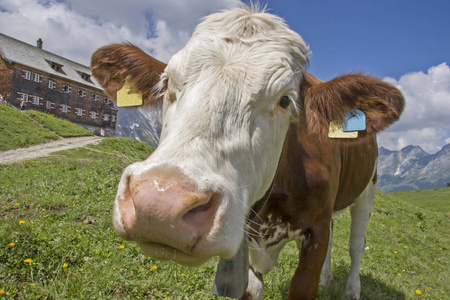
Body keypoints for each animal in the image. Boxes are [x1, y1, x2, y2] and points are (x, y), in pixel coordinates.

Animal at [91, 4, 404, 300]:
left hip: (368, 188)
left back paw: (352, 289)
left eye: (285, 100)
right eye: (167, 83)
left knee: (356, 244)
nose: (160, 203)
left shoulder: (315, 233)